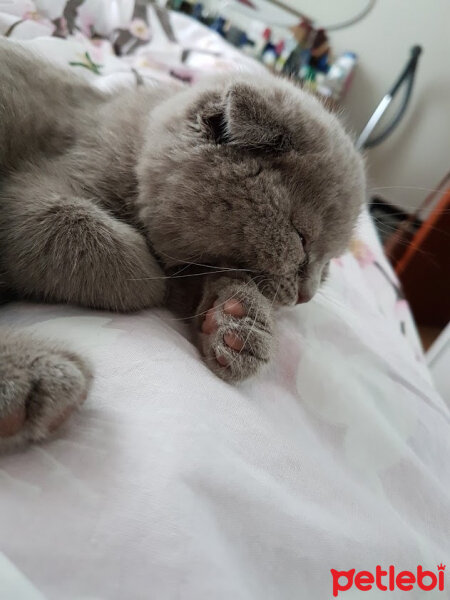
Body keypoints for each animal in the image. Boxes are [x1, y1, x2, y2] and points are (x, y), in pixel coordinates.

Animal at [0, 38, 366, 450]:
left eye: (330, 262)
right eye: (301, 238)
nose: (306, 295)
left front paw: (238, 321)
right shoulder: (28, 192)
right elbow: (105, 247)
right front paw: (154, 277)